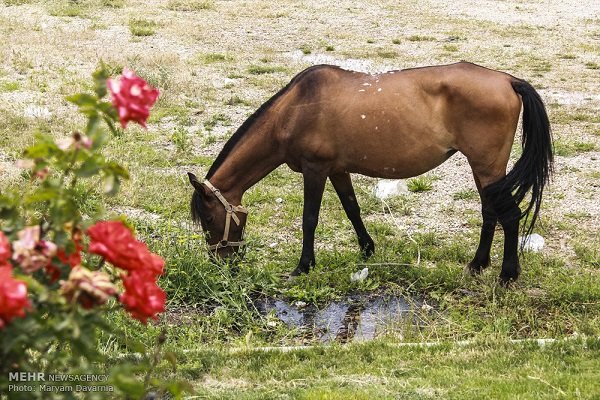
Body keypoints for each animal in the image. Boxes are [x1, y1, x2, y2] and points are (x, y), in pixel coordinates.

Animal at [188, 61, 552, 282]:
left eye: (209, 219)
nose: (222, 263)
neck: (294, 110)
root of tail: (509, 80)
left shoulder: (315, 169)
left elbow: (310, 219)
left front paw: (304, 266)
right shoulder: (337, 170)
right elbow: (352, 209)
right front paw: (367, 249)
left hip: (487, 167)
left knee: (510, 215)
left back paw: (507, 274)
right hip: (484, 170)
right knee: (491, 212)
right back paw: (478, 264)